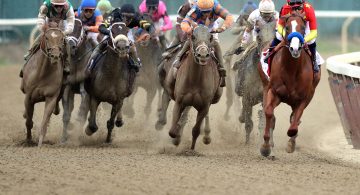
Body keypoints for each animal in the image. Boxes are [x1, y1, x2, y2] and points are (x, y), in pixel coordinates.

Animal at [258, 12, 320, 157]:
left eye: (303, 28)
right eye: (286, 28)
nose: (295, 49)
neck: (291, 70)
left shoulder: (304, 98)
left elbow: (294, 124)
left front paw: (291, 143)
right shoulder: (273, 91)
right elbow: (268, 113)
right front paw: (266, 147)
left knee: (294, 119)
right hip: (265, 86)